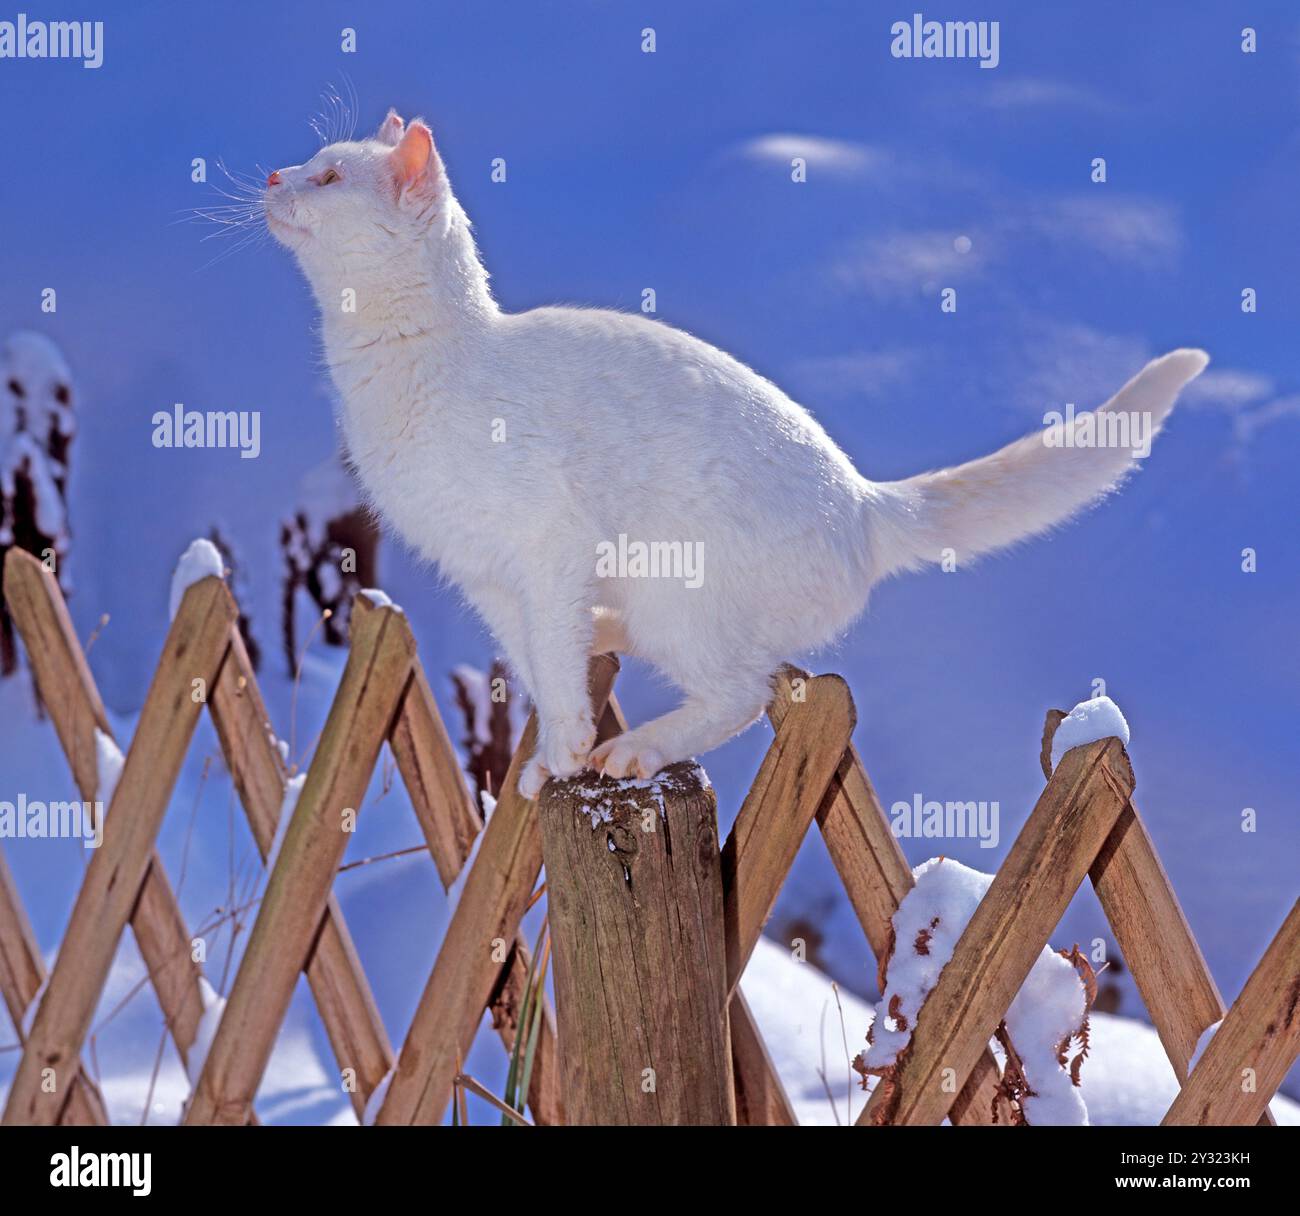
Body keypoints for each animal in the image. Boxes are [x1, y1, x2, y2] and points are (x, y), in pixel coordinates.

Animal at [263, 111, 1206, 801]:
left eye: (331, 176)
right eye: (308, 161)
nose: (273, 178)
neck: (406, 371)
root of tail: (864, 501)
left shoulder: (548, 548)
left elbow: (559, 676)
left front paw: (568, 754)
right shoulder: (490, 579)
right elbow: (536, 664)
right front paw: (544, 762)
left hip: (679, 591)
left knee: (744, 692)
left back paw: (636, 752)